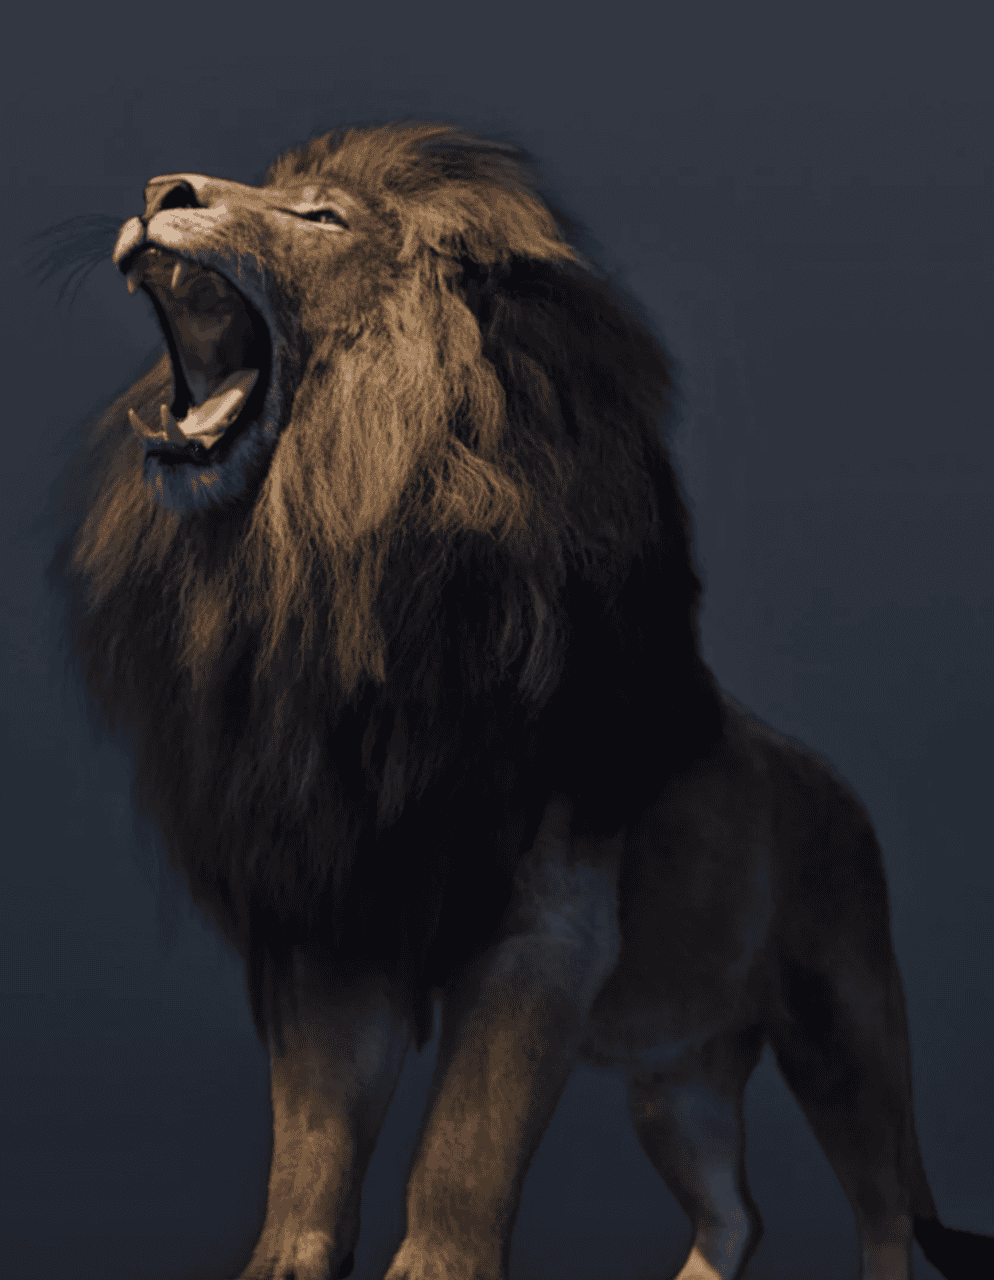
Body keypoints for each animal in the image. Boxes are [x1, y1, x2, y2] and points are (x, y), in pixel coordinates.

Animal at [43, 123, 992, 1280]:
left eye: (320, 217)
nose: (157, 191)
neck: (320, 561)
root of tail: (833, 783)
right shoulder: (337, 914)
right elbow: (310, 1140)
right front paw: (284, 1262)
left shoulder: (543, 931)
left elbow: (463, 1143)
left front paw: (434, 1267)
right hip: (679, 1069)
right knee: (734, 1209)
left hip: (842, 1028)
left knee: (885, 1210)